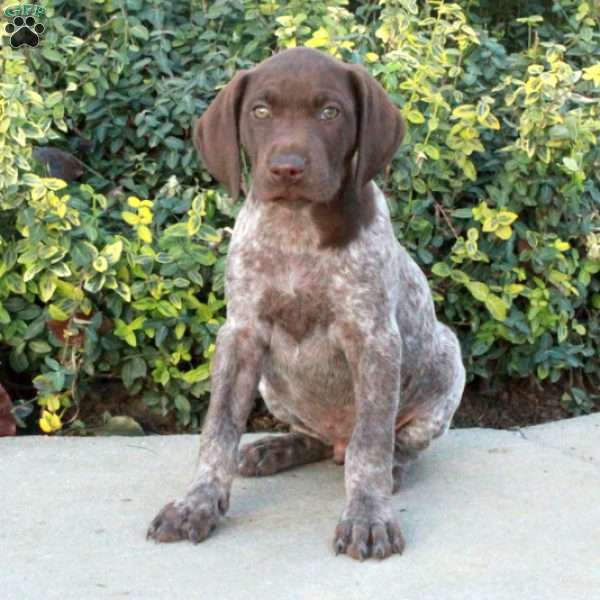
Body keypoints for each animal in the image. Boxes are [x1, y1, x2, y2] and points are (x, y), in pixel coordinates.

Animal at [148, 48, 466, 564]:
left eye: (330, 112)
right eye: (260, 111)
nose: (287, 168)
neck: (296, 229)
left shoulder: (374, 339)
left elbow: (370, 444)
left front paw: (367, 515)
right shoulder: (240, 335)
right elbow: (218, 430)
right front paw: (197, 502)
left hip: (446, 369)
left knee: (390, 443)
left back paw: (392, 468)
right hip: (272, 386)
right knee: (314, 438)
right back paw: (275, 449)